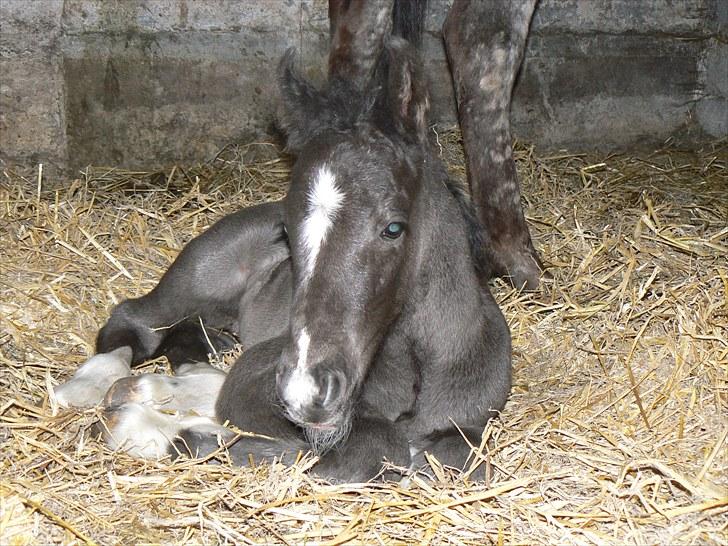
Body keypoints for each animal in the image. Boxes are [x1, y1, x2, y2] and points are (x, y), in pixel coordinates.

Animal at [55, 39, 512, 480]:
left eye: (394, 228)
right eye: (288, 231)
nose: (306, 390)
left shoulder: (470, 419)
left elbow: (461, 456)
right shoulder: (255, 384)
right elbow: (324, 449)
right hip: (197, 278)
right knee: (135, 321)